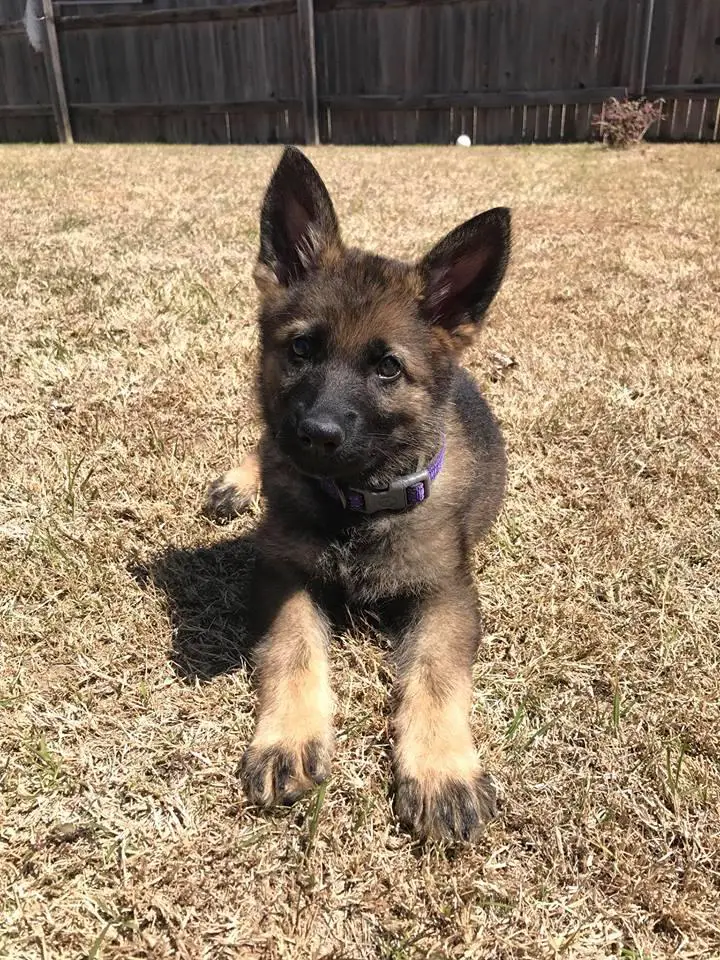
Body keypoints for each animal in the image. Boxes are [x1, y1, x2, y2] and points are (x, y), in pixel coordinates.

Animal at [205, 147, 510, 842]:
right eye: (301, 348)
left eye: (387, 368)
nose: (316, 435)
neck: (356, 509)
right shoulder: (283, 573)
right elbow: (292, 649)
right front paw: (289, 739)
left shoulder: (447, 594)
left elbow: (436, 673)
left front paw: (441, 768)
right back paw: (239, 480)